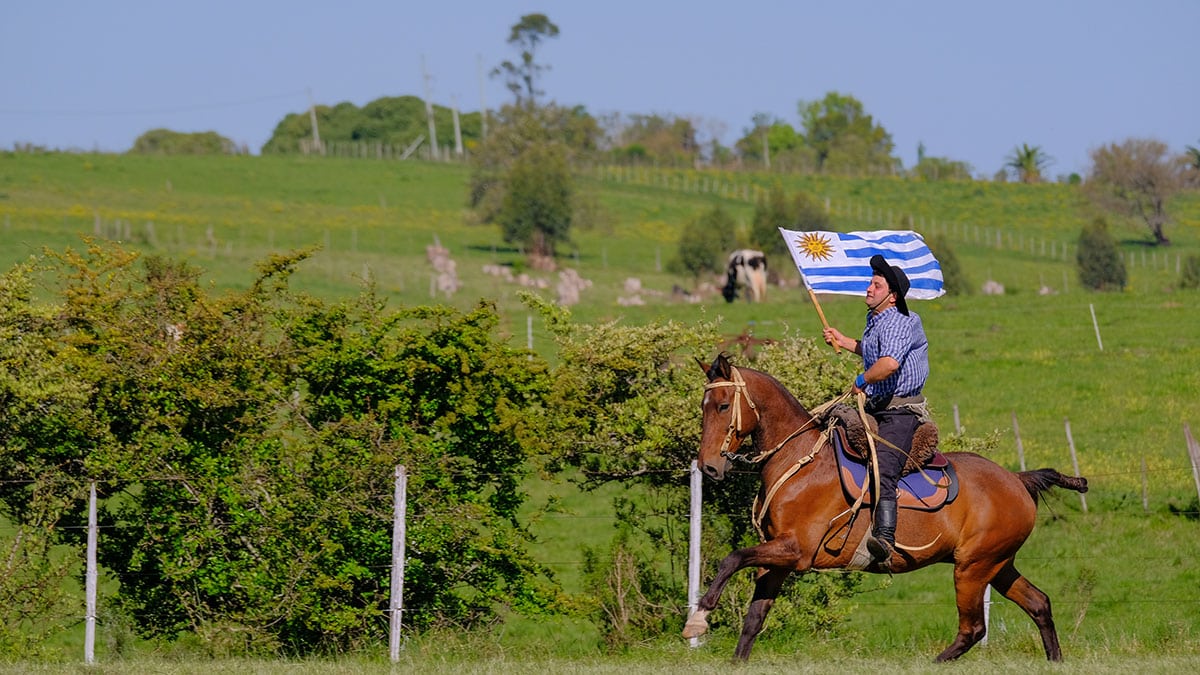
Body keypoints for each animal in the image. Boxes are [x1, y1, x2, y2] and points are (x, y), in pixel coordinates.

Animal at [686, 355, 1089, 658]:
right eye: (703, 408)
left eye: (723, 405)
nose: (709, 466)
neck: (798, 460)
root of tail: (1017, 479)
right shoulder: (777, 558)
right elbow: (754, 617)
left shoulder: (795, 550)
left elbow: (732, 558)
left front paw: (699, 616)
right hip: (997, 564)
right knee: (1039, 603)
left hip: (973, 568)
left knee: (973, 628)